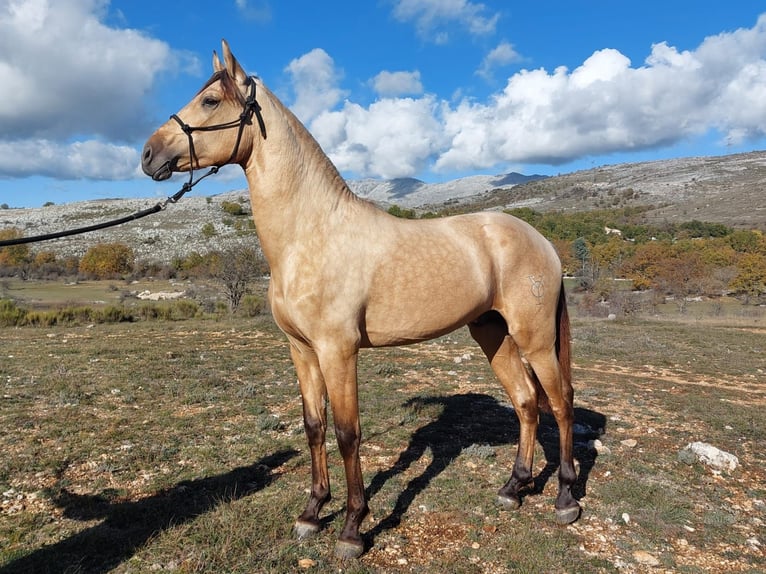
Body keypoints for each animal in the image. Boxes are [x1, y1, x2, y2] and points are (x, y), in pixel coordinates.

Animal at [141, 40, 580, 564]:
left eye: (209, 101)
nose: (148, 154)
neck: (311, 234)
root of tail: (543, 242)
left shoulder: (338, 350)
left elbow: (348, 434)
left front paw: (352, 528)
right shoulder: (302, 350)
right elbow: (314, 425)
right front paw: (312, 513)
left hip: (535, 339)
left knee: (561, 404)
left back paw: (565, 499)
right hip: (492, 333)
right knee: (526, 402)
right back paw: (513, 488)